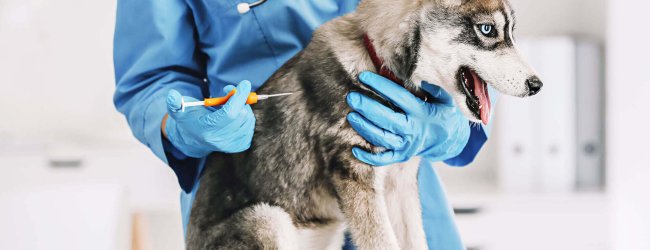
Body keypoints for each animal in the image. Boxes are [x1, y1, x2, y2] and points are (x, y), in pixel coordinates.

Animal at [185, 0, 540, 248]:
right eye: (487, 30)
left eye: (511, 32)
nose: (537, 85)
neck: (380, 67)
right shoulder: (354, 174)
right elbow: (383, 242)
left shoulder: (399, 181)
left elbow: (413, 240)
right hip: (267, 219)